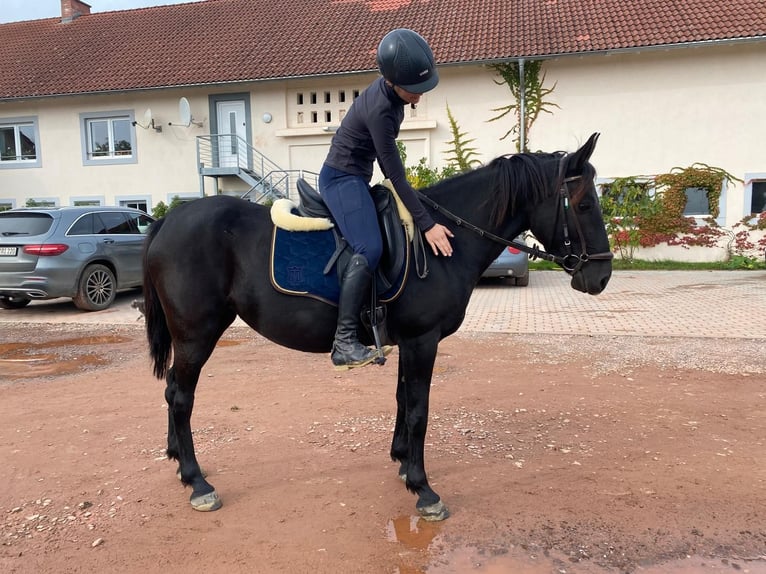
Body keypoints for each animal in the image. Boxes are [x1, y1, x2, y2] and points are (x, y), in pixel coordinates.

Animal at [142, 134, 612, 520]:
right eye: (585, 205)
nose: (602, 276)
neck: (440, 243)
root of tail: (167, 221)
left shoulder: (410, 342)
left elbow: (403, 400)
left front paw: (402, 461)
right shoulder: (423, 341)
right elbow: (420, 410)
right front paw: (423, 489)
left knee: (170, 389)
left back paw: (177, 459)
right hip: (197, 334)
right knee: (181, 397)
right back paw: (197, 481)